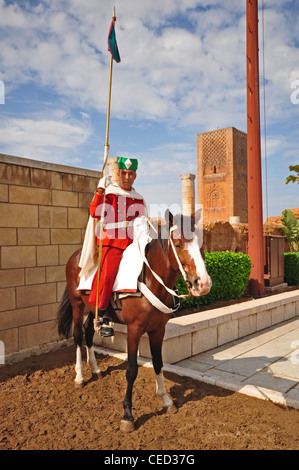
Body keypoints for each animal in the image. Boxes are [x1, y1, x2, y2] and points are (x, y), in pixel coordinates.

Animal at [55, 210, 211, 434]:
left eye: (201, 244)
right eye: (178, 244)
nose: (204, 284)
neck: (151, 280)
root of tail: (76, 256)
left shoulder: (158, 330)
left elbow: (158, 363)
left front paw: (166, 400)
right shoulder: (134, 330)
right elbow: (131, 370)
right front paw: (128, 415)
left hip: (92, 309)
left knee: (89, 332)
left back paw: (96, 369)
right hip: (77, 306)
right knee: (77, 336)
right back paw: (80, 377)